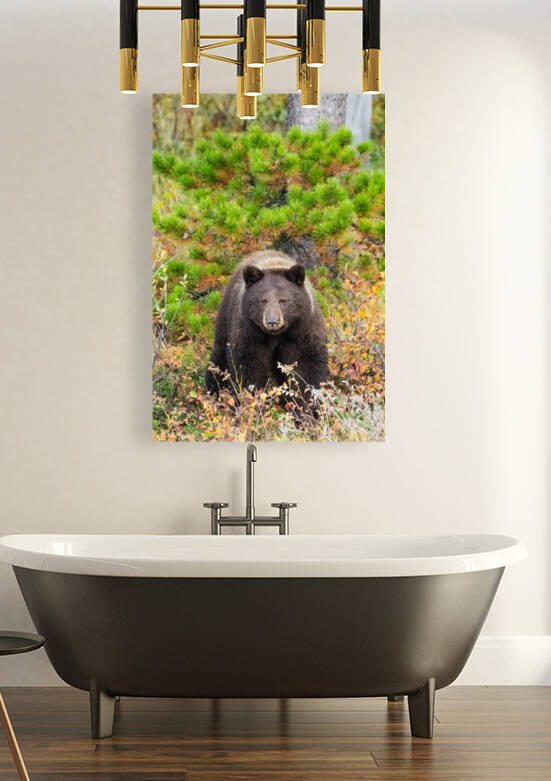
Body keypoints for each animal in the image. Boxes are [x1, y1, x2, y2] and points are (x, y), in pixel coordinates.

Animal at [205, 250, 328, 405]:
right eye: (263, 300)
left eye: (283, 300)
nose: (272, 321)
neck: (277, 335)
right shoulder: (250, 332)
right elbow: (249, 368)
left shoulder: (303, 331)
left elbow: (306, 369)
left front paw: (307, 405)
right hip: (226, 316)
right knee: (219, 356)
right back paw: (214, 390)